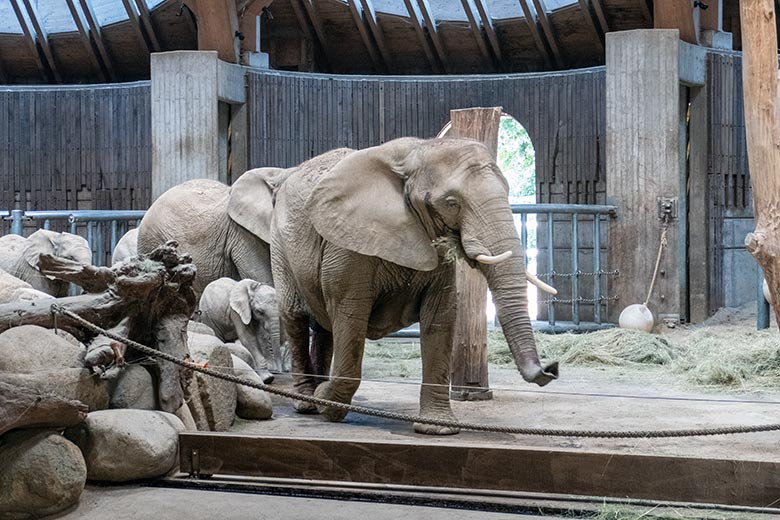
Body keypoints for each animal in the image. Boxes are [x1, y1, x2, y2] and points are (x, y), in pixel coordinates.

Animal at [272, 137, 556, 434]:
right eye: (452, 203)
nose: (551, 368)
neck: (416, 152)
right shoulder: (347, 244)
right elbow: (350, 315)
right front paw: (327, 403)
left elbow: (440, 318)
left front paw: (439, 428)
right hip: (280, 245)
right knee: (295, 317)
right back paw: (307, 402)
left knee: (324, 326)